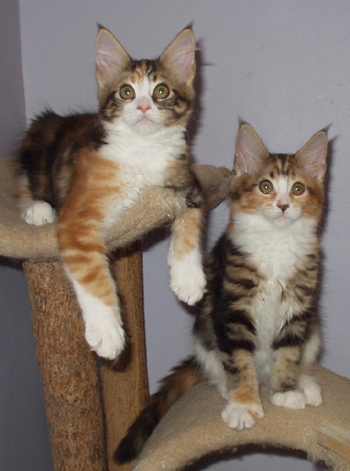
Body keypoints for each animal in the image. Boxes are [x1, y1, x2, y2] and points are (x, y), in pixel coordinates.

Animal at [17, 27, 208, 362]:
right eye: (126, 92)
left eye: (161, 91)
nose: (143, 107)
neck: (143, 150)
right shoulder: (77, 220)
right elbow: (94, 278)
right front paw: (108, 333)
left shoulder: (190, 184)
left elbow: (191, 225)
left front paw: (188, 280)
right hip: (37, 141)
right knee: (23, 184)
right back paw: (37, 209)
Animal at [116, 123, 326, 462]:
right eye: (266, 187)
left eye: (297, 189)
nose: (283, 205)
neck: (277, 242)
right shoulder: (231, 308)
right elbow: (238, 360)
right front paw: (243, 405)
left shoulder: (298, 307)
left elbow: (290, 352)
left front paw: (286, 391)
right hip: (203, 328)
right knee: (217, 370)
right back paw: (231, 390)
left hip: (314, 326)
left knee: (300, 357)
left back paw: (305, 385)